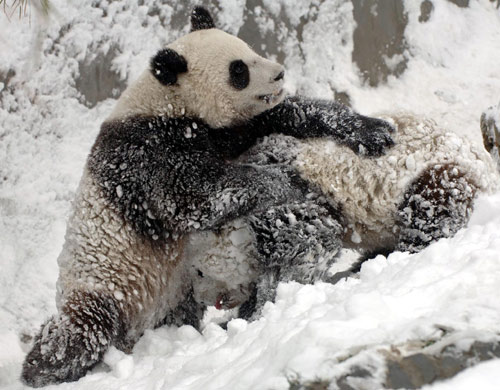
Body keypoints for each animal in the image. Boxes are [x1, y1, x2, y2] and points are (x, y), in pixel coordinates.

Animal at [20, 6, 394, 386]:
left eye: (249, 48)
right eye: (238, 70)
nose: (279, 74)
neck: (168, 102)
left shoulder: (227, 131)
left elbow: (286, 114)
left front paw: (372, 131)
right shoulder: (147, 154)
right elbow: (197, 197)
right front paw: (289, 180)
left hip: (171, 291)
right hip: (102, 280)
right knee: (83, 330)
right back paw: (39, 367)